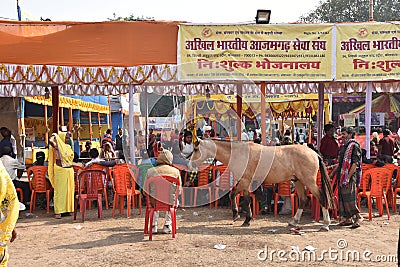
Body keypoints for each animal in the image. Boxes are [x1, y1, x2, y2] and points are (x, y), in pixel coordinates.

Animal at [189, 139, 332, 231]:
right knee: (303, 199)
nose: (190, 165)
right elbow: (241, 197)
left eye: (196, 149)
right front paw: (244, 217)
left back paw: (325, 224)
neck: (240, 154)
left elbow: (237, 197)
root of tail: (312, 152)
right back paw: (293, 221)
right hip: (298, 181)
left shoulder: (245, 181)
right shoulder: (246, 183)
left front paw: (241, 217)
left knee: (321, 197)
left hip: (309, 182)